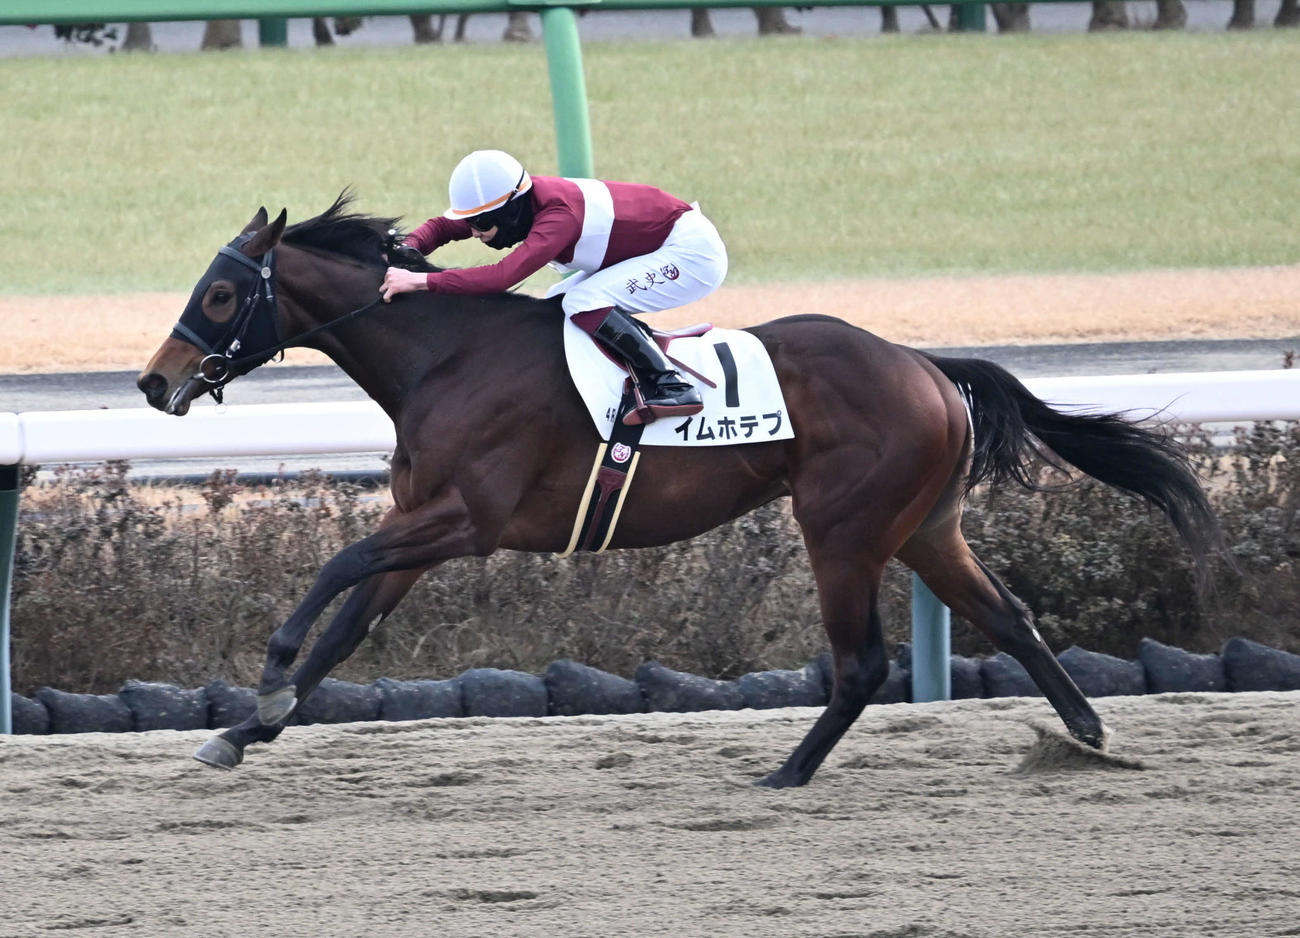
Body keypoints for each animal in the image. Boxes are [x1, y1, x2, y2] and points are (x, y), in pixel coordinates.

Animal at [137, 196, 1222, 788]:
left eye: (222, 293)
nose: (153, 382)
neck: (444, 356)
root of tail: (923, 363)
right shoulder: (421, 522)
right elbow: (348, 628)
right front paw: (242, 732)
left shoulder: (463, 522)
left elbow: (332, 576)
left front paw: (265, 680)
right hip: (924, 527)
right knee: (1009, 615)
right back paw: (1086, 735)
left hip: (842, 526)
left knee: (863, 662)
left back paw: (785, 771)